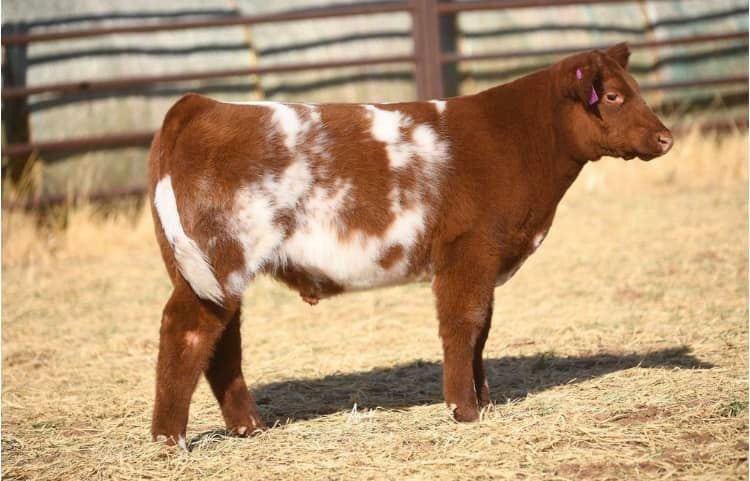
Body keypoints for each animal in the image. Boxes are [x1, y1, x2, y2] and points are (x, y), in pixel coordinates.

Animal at [148, 43, 673, 448]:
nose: (665, 138)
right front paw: (465, 409)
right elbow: (464, 324)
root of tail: (202, 104)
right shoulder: (469, 251)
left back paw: (249, 428)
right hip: (219, 257)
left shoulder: (484, 261)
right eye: (612, 95)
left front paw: (484, 401)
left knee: (222, 339)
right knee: (186, 329)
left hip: (209, 270)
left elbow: (483, 329)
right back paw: (170, 438)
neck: (516, 140)